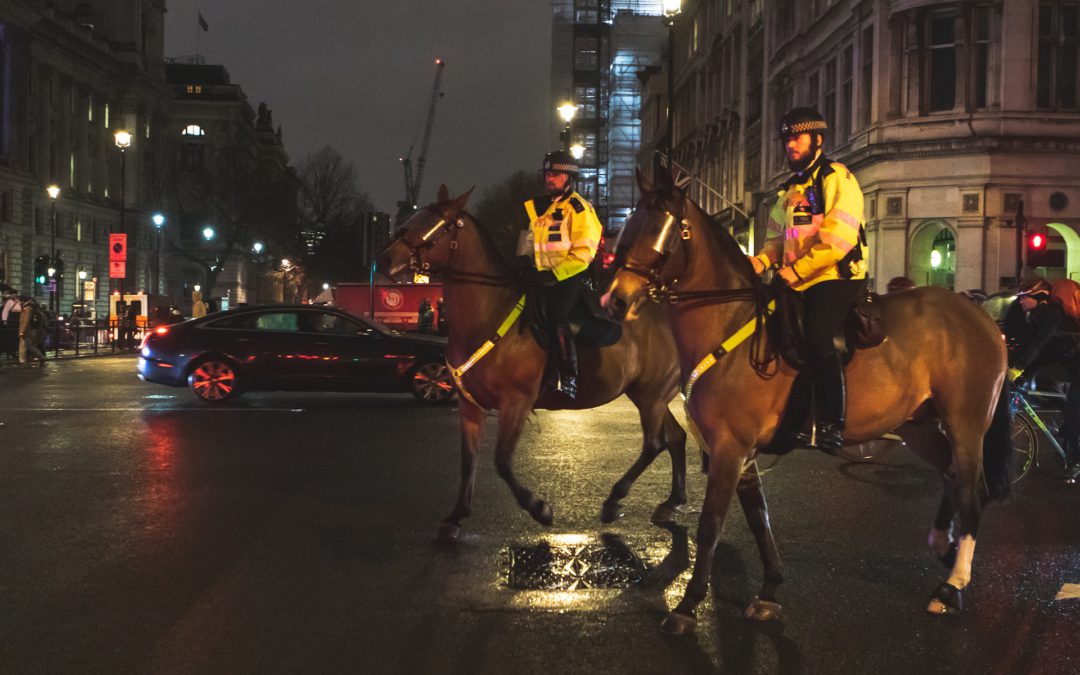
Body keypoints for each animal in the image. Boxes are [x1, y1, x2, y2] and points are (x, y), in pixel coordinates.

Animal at [380, 186, 786, 617]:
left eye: (436, 225)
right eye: (416, 217)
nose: (386, 258)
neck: (488, 312)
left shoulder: (516, 403)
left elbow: (502, 462)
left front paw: (539, 508)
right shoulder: (470, 407)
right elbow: (467, 462)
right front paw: (456, 517)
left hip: (650, 395)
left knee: (656, 442)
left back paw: (615, 500)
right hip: (649, 395)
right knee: (674, 439)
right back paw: (671, 501)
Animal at [604, 170, 1015, 635]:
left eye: (664, 233)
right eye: (631, 226)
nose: (615, 300)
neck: (729, 322)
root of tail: (981, 317)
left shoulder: (729, 448)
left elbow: (711, 524)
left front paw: (688, 605)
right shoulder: (741, 453)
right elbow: (759, 519)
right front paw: (768, 590)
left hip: (965, 423)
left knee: (972, 490)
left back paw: (952, 586)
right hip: (921, 425)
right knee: (951, 477)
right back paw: (944, 547)